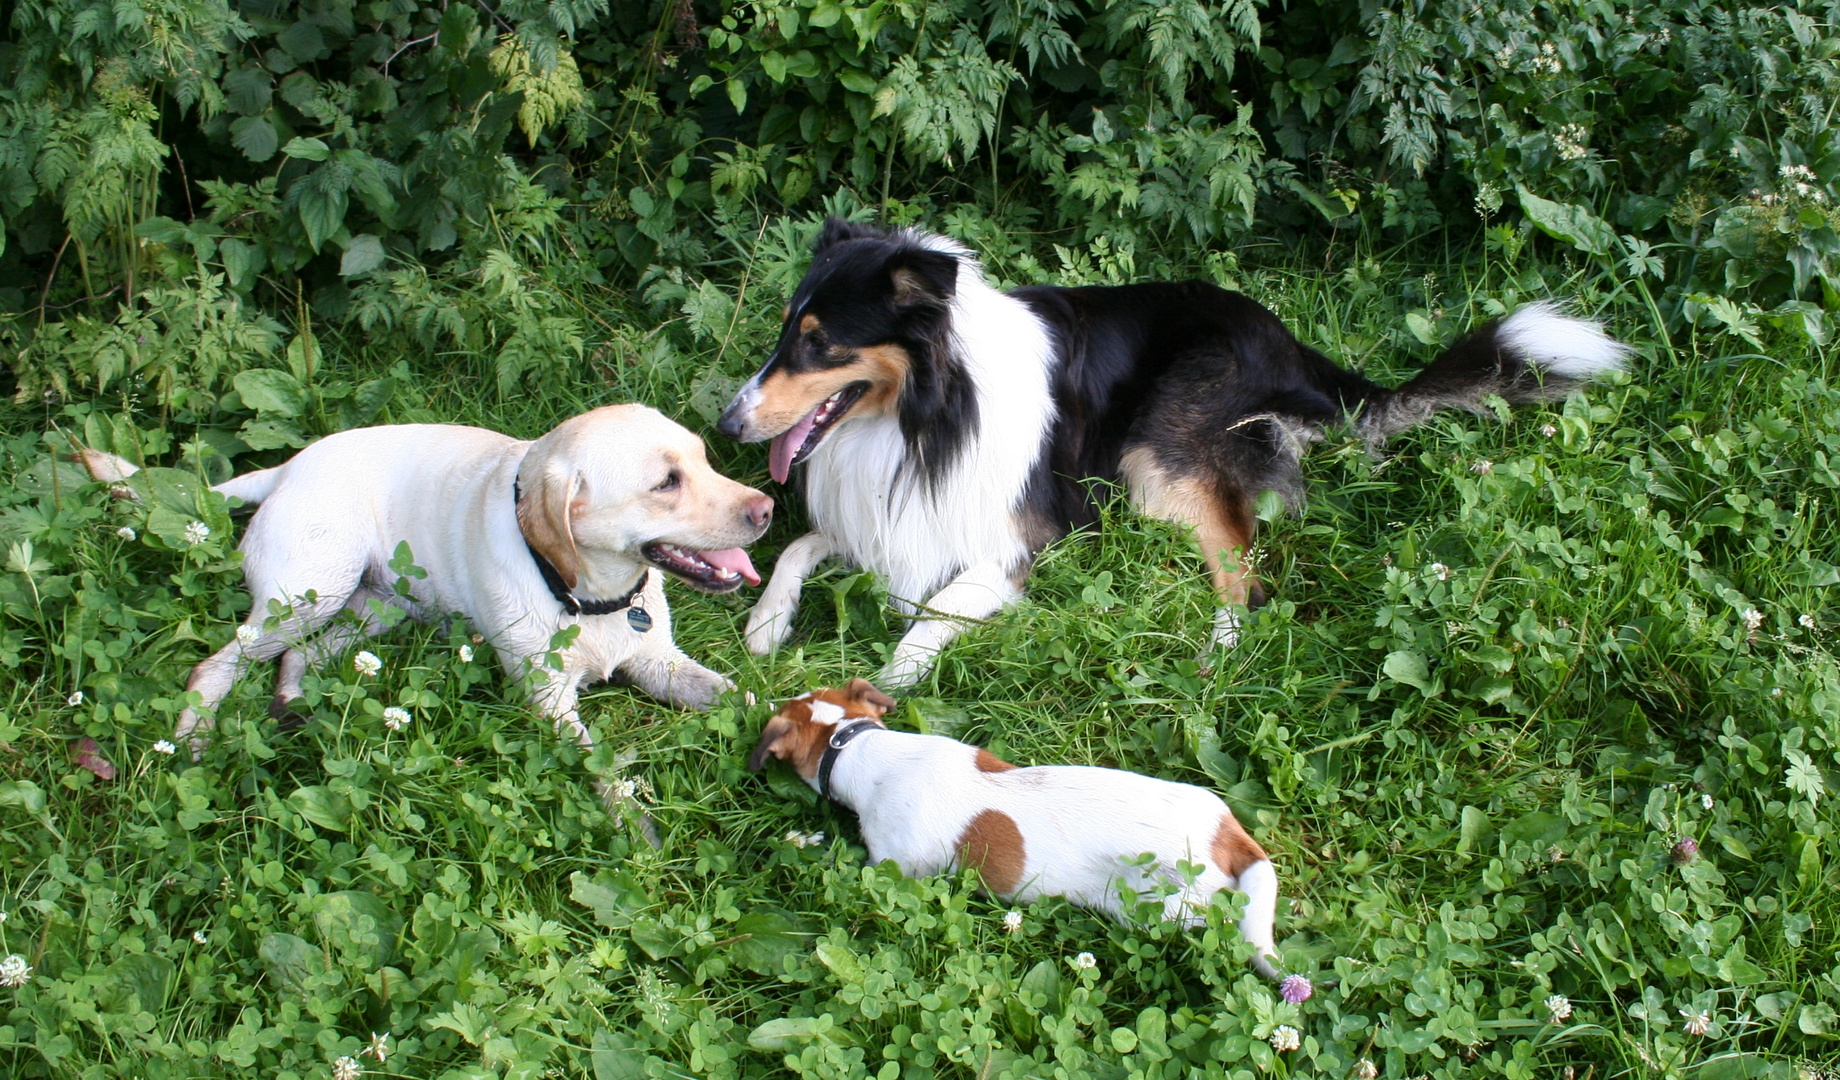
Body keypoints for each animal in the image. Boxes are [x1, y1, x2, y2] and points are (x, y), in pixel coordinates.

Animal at [82, 402, 772, 761]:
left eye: (704, 459)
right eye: (666, 483)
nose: (766, 510)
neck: (589, 596)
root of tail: (287, 466)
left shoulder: (660, 662)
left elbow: (744, 699)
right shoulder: (549, 701)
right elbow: (604, 771)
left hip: (375, 606)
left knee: (301, 657)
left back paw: (291, 703)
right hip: (314, 588)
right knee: (217, 664)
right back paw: (193, 736)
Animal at [717, 219, 1626, 688]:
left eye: (818, 342)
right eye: (784, 330)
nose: (727, 424)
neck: (925, 417)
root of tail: (1292, 347)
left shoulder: (1025, 537)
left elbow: (936, 611)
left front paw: (887, 685)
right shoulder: (883, 510)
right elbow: (800, 544)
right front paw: (767, 625)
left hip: (1158, 460)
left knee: (1244, 576)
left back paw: (1214, 657)